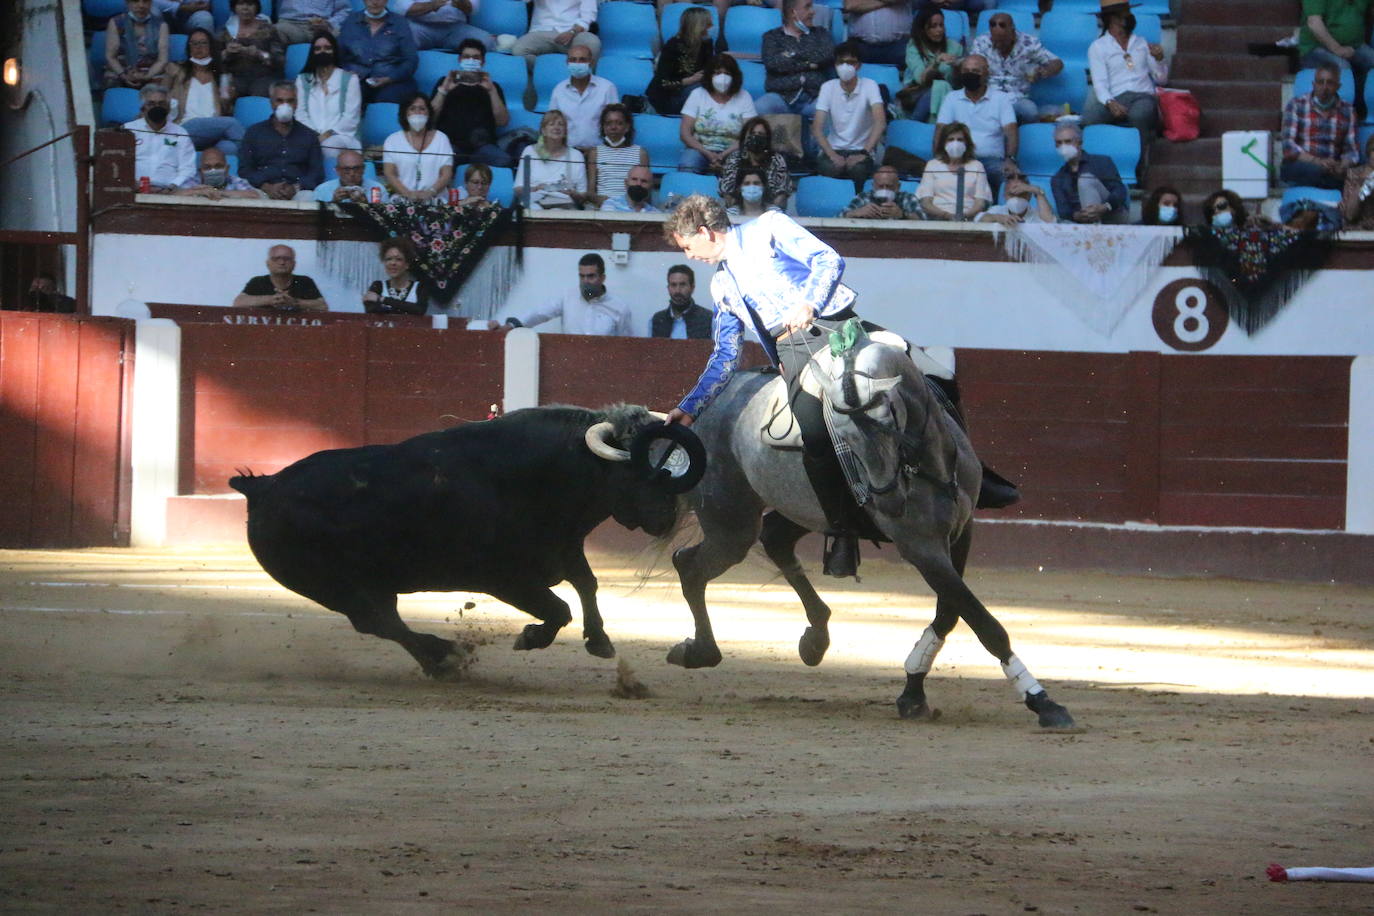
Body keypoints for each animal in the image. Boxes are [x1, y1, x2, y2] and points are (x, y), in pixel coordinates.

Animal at [232, 403, 697, 678]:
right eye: (635, 468)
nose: (665, 518)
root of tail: (263, 487)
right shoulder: (505, 579)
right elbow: (559, 608)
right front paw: (530, 637)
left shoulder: (563, 551)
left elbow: (587, 585)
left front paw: (599, 641)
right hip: (336, 586)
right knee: (380, 622)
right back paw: (443, 657)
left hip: (366, 586)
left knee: (383, 622)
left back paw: (440, 657)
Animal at [670, 333, 1077, 725]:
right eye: (842, 436)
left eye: (890, 421)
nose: (889, 500)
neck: (926, 463)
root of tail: (710, 404)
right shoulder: (920, 547)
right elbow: (982, 621)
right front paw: (1043, 702)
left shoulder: (962, 532)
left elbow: (950, 612)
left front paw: (913, 691)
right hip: (731, 522)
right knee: (691, 564)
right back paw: (700, 651)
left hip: (801, 510)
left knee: (771, 538)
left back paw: (814, 637)